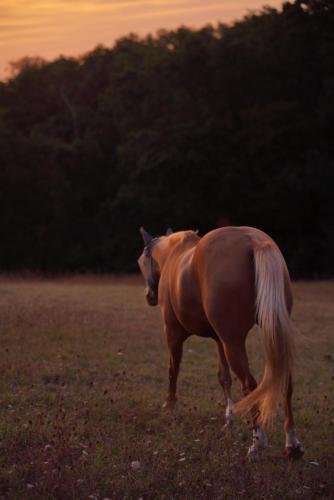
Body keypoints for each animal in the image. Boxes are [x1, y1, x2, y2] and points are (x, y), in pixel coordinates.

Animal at [137, 226, 304, 458]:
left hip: (234, 343)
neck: (173, 255)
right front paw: (229, 422)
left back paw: (258, 442)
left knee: (249, 384)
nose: (149, 296)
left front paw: (169, 406)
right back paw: (292, 443)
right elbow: (224, 378)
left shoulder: (173, 333)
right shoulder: (219, 340)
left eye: (142, 261)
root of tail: (254, 242)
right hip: (267, 333)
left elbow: (173, 369)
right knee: (286, 382)